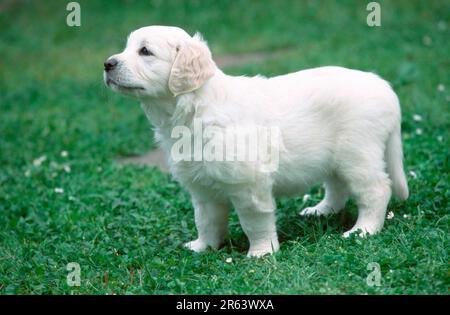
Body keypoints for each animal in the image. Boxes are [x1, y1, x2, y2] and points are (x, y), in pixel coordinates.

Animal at [104, 24, 408, 256]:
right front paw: (203, 247)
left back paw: (363, 230)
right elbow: (206, 220)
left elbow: (253, 221)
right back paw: (321, 211)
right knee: (337, 187)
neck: (193, 108)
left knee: (376, 190)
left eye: (145, 51)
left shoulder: (248, 182)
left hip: (357, 154)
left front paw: (261, 252)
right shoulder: (202, 187)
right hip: (335, 158)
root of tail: (384, 87)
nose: (107, 64)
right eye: (127, 47)